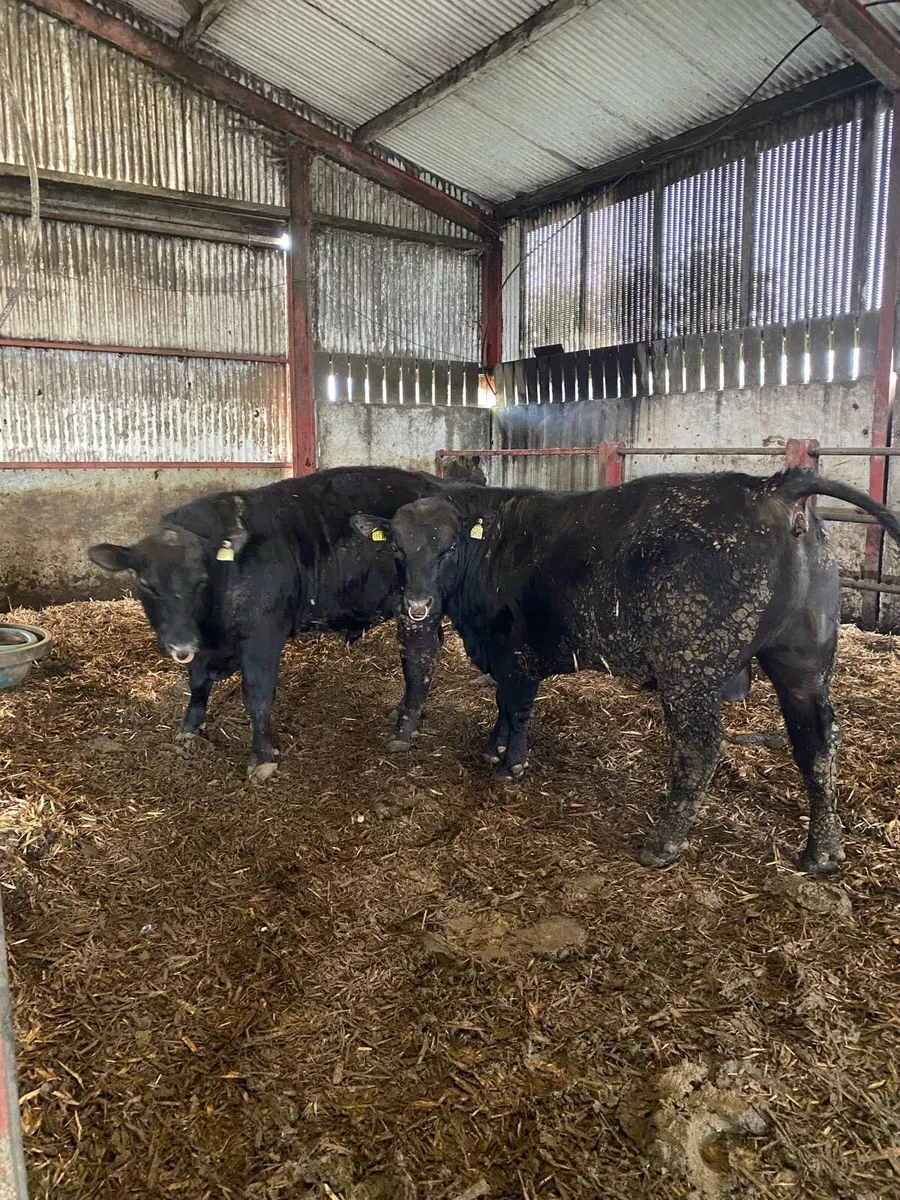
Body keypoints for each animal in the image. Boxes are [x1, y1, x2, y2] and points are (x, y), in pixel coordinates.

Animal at [87, 466, 465, 781]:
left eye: (200, 580)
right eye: (147, 584)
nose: (179, 644)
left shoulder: (262, 638)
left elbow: (257, 695)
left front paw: (262, 757)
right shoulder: (202, 644)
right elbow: (197, 683)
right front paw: (190, 729)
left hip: (417, 607)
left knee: (419, 658)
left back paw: (403, 730)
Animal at [352, 468, 900, 874]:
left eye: (446, 548)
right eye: (396, 548)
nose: (418, 605)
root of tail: (770, 487)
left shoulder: (518, 651)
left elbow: (517, 704)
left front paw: (512, 762)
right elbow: (502, 703)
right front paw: (495, 747)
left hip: (690, 668)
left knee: (701, 747)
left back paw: (663, 844)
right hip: (803, 659)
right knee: (817, 742)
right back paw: (822, 852)